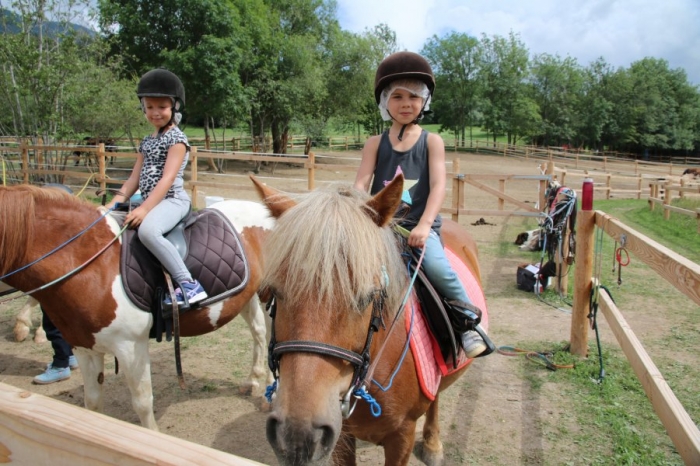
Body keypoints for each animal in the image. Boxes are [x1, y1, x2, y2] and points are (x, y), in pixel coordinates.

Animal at [0, 185, 274, 430]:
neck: (90, 262)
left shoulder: (130, 346)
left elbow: (142, 403)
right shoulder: (84, 346)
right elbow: (92, 403)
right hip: (245, 295)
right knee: (259, 333)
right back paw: (253, 381)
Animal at [252, 176, 486, 466]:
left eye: (368, 296)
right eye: (274, 291)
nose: (297, 435)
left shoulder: (402, 435)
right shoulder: (341, 435)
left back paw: (433, 444)